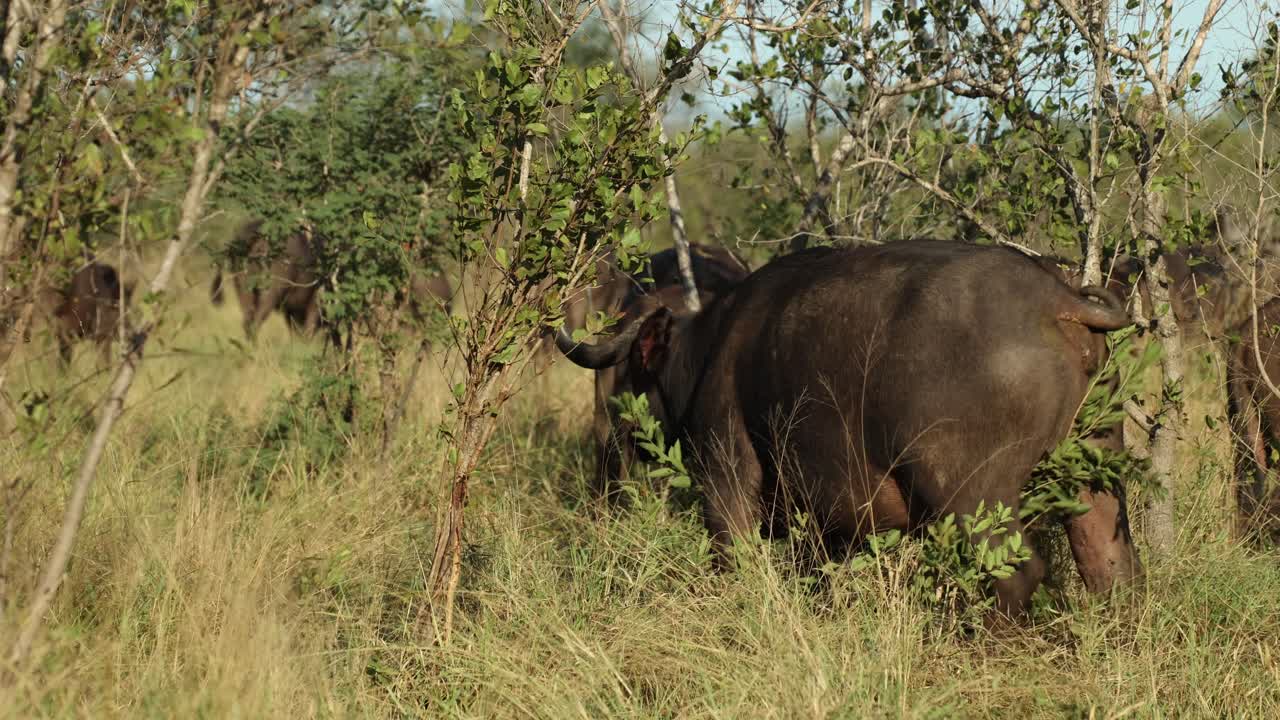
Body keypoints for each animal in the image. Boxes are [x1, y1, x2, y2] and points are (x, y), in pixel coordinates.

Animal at [557, 239, 1139, 617]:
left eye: (629, 372)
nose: (608, 442)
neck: (703, 355)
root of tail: (1057, 300)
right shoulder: (824, 522)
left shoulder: (726, 480)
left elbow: (733, 556)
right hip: (1096, 477)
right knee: (1111, 566)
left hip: (971, 496)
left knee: (1015, 575)